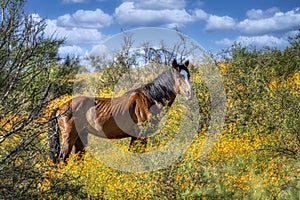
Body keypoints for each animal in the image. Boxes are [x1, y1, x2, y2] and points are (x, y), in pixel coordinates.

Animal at [47, 58, 192, 163]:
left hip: (80, 137)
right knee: (62, 158)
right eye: (179, 77)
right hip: (69, 136)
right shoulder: (140, 135)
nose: (190, 93)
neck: (150, 99)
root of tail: (61, 107)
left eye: (188, 75)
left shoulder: (136, 137)